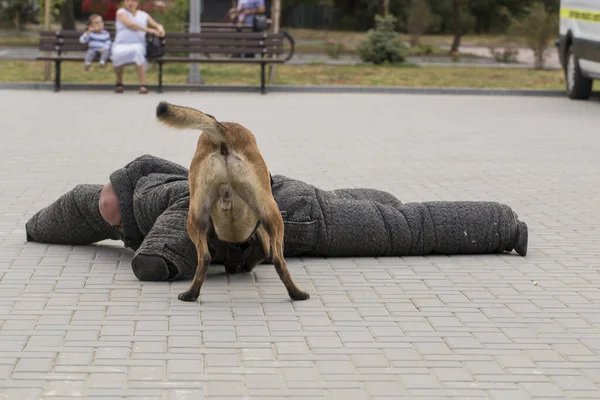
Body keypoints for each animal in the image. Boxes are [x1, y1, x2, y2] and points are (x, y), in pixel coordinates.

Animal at [152, 101, 312, 302]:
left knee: (204, 257)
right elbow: (262, 254)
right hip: (272, 215)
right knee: (278, 259)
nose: (232, 267)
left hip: (195, 217)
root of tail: (225, 132)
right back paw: (297, 293)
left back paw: (191, 294)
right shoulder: (261, 237)